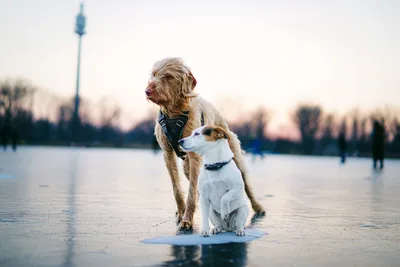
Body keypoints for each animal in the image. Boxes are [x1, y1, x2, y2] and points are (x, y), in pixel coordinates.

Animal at [145, 57, 266, 231]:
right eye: (154, 74)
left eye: (168, 76)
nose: (147, 91)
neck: (175, 112)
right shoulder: (167, 153)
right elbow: (177, 188)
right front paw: (182, 212)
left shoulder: (194, 156)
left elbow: (191, 190)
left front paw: (187, 220)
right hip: (187, 166)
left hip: (236, 158)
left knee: (246, 184)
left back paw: (257, 207)